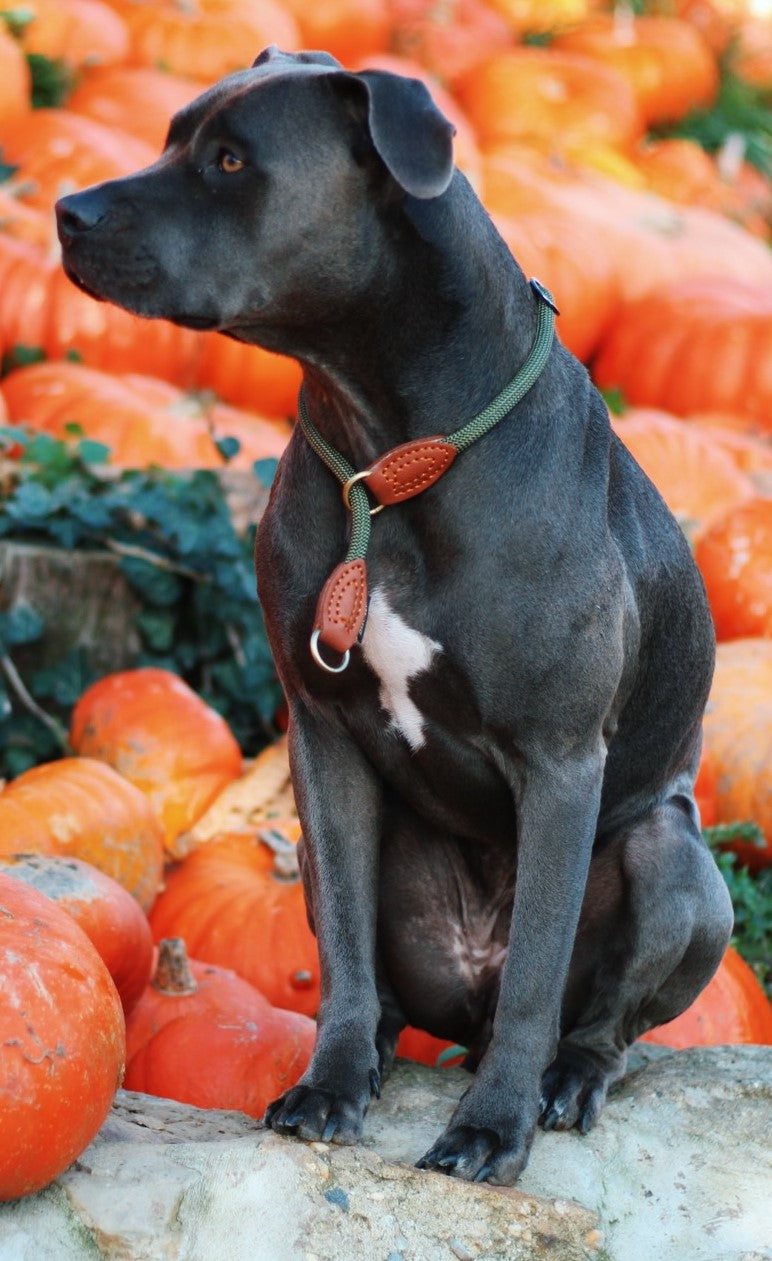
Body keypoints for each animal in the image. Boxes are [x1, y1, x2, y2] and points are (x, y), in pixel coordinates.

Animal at [57, 46, 731, 1180]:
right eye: (169, 135)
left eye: (230, 160)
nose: (66, 209)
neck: (394, 455)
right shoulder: (321, 737)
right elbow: (340, 939)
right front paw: (330, 1084)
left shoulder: (560, 760)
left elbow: (538, 971)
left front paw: (492, 1128)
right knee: (380, 971)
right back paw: (376, 1048)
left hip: (676, 860)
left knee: (596, 1018)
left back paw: (564, 1080)